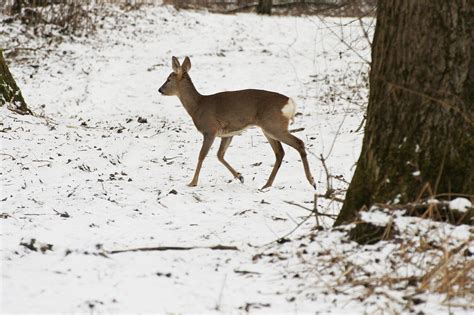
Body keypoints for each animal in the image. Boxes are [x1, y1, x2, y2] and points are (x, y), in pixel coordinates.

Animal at [157, 56, 316, 190]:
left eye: (168, 79)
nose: (159, 90)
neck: (197, 106)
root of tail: (290, 103)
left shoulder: (210, 130)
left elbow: (202, 155)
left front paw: (192, 182)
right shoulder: (227, 133)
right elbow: (220, 155)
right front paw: (240, 176)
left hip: (275, 126)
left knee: (298, 143)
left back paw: (312, 181)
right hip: (269, 128)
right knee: (280, 152)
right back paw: (267, 185)